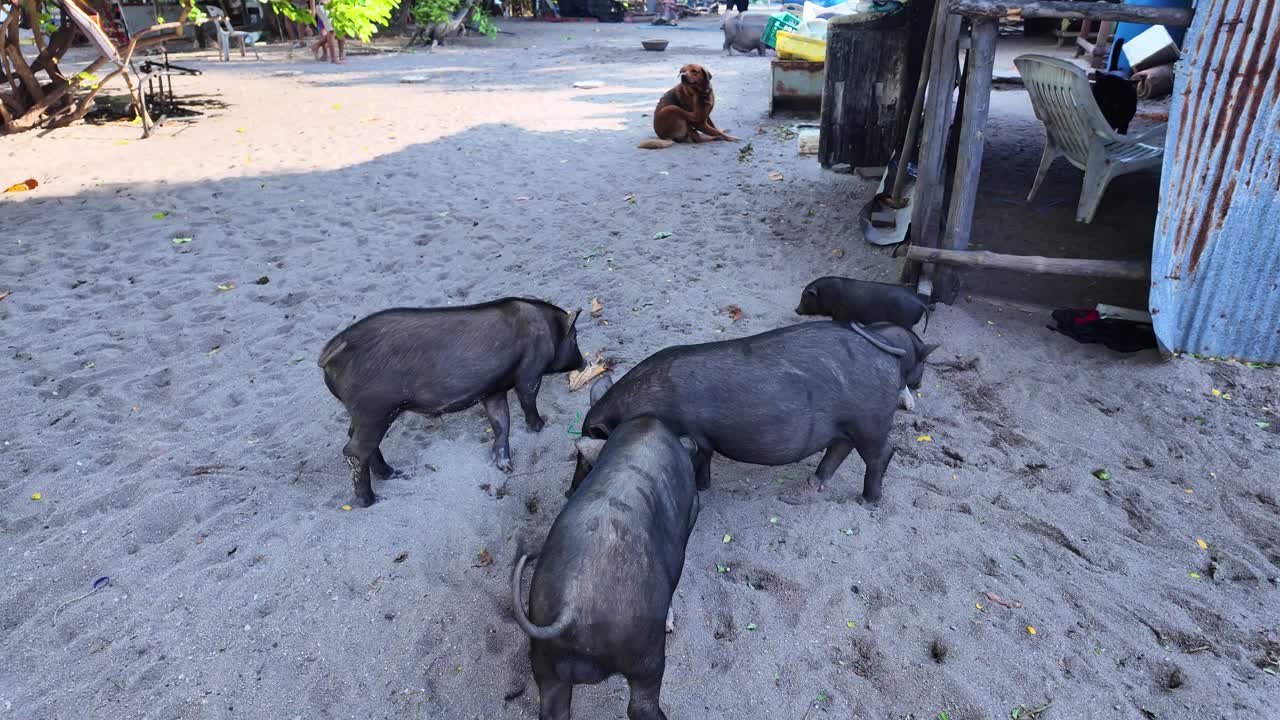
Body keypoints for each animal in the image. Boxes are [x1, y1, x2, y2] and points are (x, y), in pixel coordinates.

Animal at [319, 298, 586, 507]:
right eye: (575, 338)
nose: (584, 363)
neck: (549, 328)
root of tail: (331, 351)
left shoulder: (493, 391)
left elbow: (501, 423)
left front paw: (505, 467)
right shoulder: (530, 373)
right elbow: (528, 400)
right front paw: (541, 426)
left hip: (362, 413)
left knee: (355, 439)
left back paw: (393, 473)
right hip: (375, 410)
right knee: (353, 450)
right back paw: (370, 501)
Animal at [512, 417, 700, 720]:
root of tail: (570, 608)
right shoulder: (693, 507)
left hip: (543, 657)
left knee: (553, 708)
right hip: (645, 652)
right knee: (641, 703)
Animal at [575, 321, 938, 507]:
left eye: (591, 457)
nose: (568, 492)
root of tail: (887, 351)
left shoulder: (695, 437)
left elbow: (700, 461)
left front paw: (701, 489)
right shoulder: (704, 440)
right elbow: (705, 461)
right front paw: (705, 487)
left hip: (869, 423)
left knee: (883, 453)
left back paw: (867, 502)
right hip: (848, 425)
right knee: (839, 449)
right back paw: (807, 488)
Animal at [795, 276, 932, 332]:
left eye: (805, 297)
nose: (796, 310)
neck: (827, 294)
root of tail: (921, 303)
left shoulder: (841, 315)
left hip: (906, 323)